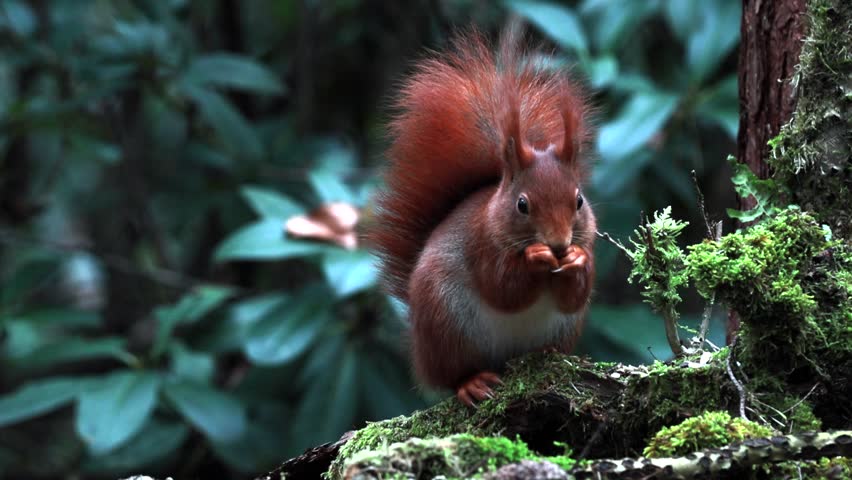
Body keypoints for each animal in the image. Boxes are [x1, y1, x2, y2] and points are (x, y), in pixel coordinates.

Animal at [369, 29, 596, 406]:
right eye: (522, 205)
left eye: (579, 200)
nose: (559, 245)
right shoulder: (481, 244)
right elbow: (502, 287)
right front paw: (535, 256)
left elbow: (573, 297)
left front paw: (578, 259)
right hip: (447, 326)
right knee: (451, 375)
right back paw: (472, 383)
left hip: (563, 329)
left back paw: (550, 355)